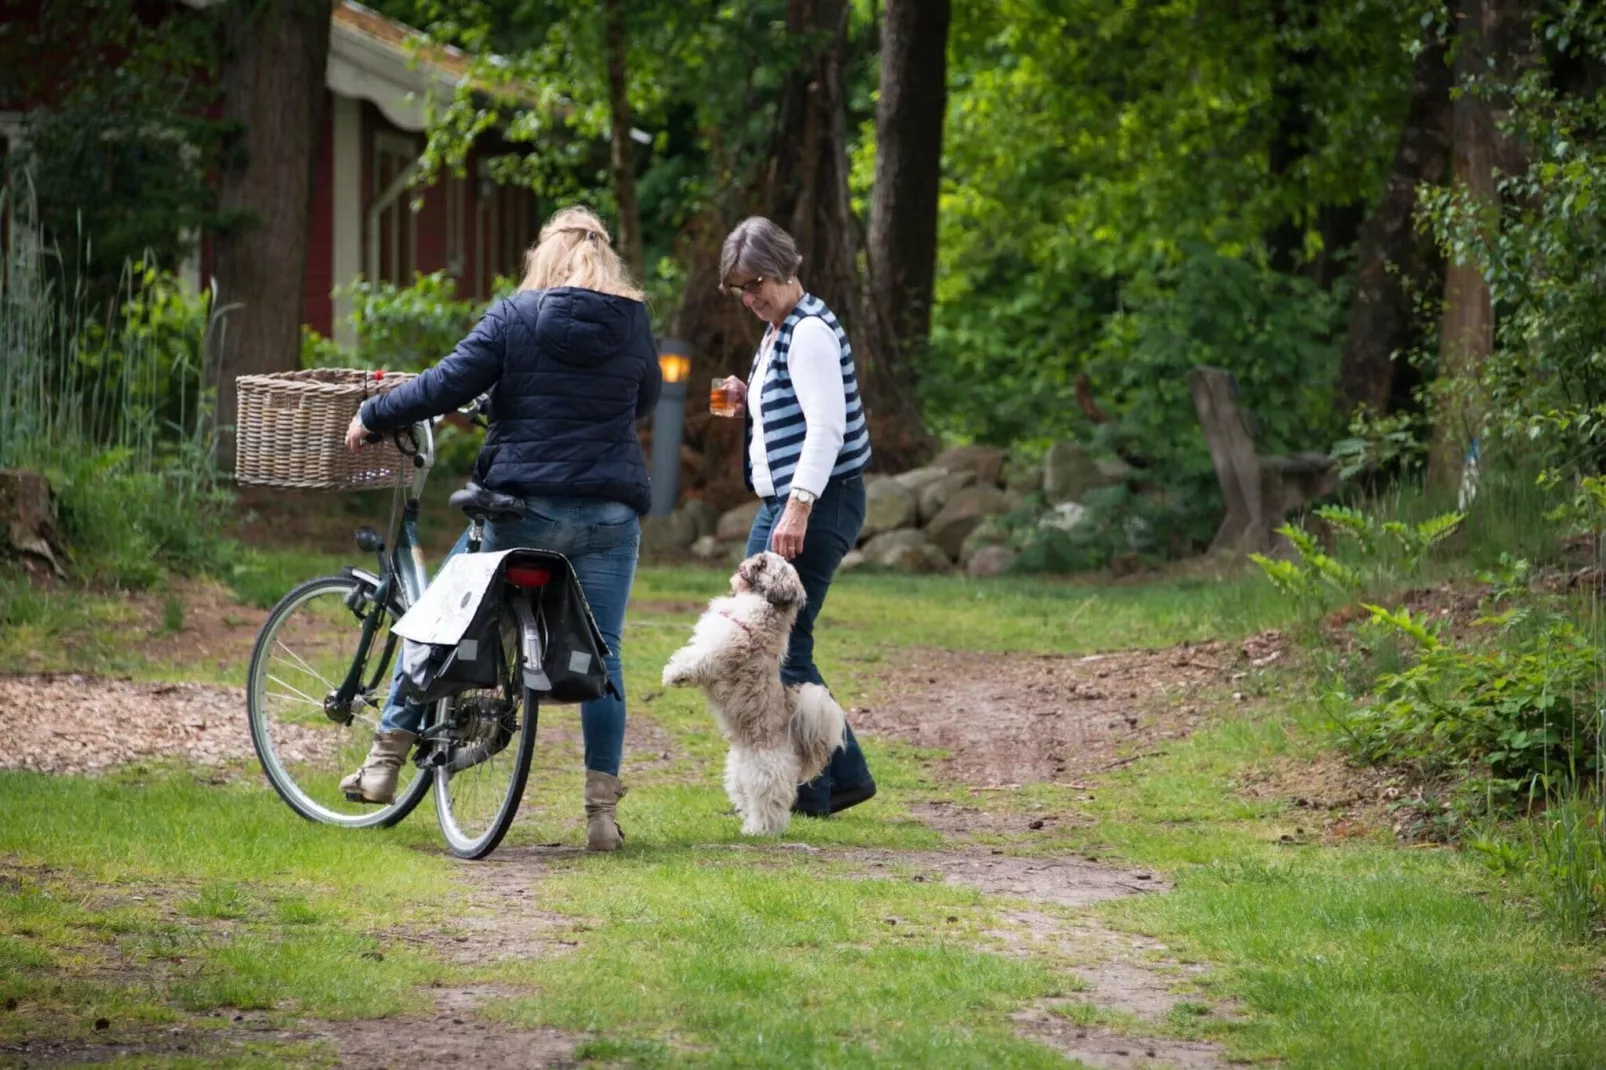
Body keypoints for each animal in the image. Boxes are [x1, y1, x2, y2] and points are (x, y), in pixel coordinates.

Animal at [658, 549, 847, 835]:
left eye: (763, 565)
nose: (750, 561)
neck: (759, 605)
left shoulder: (722, 649)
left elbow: (695, 661)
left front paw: (674, 675)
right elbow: (691, 652)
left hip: (765, 774)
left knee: (771, 806)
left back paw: (760, 831)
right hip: (738, 776)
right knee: (749, 801)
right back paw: (748, 823)